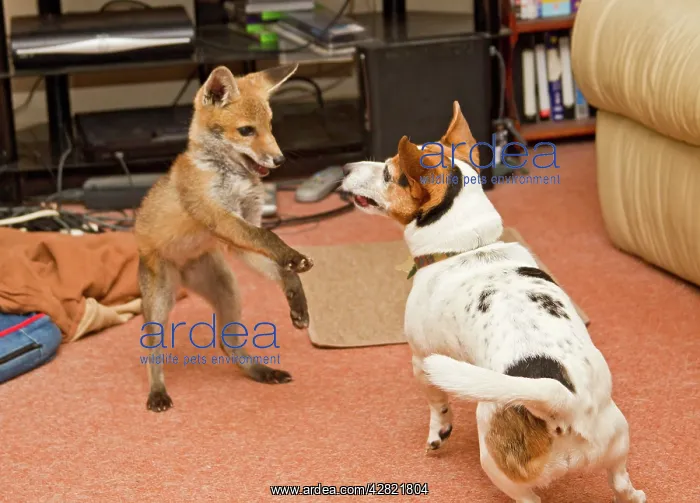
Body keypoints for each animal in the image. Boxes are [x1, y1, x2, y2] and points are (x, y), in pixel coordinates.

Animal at [134, 64, 314, 413]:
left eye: (270, 126)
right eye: (246, 131)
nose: (280, 160)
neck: (233, 178)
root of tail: (182, 276)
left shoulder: (239, 235)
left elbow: (277, 261)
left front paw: (296, 299)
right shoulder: (221, 217)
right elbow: (268, 235)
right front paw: (294, 258)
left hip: (228, 290)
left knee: (227, 343)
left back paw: (261, 372)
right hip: (159, 308)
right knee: (153, 354)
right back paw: (157, 393)